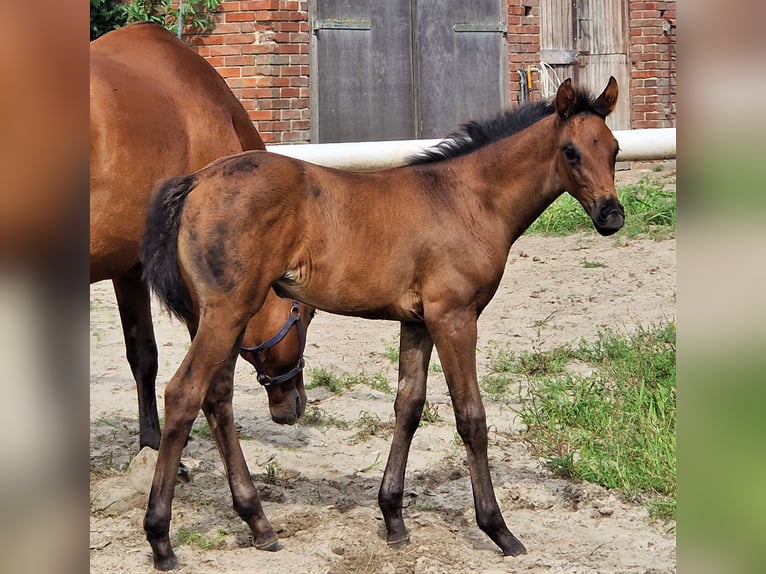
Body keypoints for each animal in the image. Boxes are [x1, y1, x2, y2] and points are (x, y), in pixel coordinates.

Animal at [142, 76, 624, 572]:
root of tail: (196, 180)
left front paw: (393, 518)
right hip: (228, 310)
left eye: (614, 149)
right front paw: (498, 529)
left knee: (217, 397)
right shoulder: (454, 317)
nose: (612, 216)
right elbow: (471, 417)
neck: (467, 199)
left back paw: (258, 523)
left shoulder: (418, 322)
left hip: (227, 315)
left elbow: (408, 406)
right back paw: (161, 539)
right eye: (570, 152)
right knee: (184, 394)